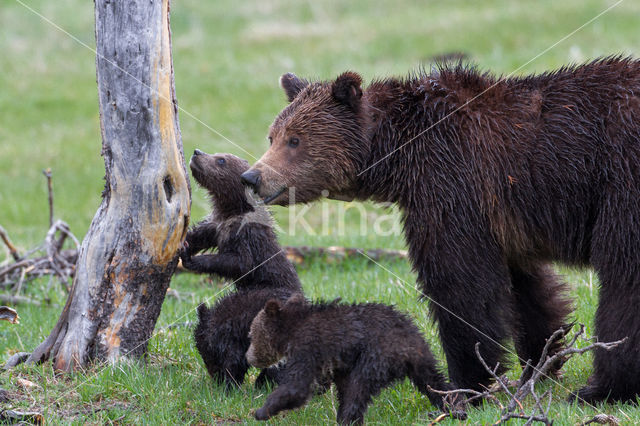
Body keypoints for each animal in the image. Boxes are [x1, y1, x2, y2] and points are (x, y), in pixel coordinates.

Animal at [179, 151, 302, 388]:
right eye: (217, 155)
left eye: (221, 160)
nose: (197, 152)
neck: (231, 211)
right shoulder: (217, 226)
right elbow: (199, 233)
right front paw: (182, 243)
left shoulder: (246, 235)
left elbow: (238, 262)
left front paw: (191, 259)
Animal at [239, 57, 640, 402]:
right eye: (272, 136)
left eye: (295, 139)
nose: (253, 177)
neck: (400, 154)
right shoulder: (505, 220)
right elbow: (529, 288)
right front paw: (540, 363)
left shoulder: (452, 181)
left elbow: (459, 284)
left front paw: (466, 383)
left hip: (621, 179)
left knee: (623, 279)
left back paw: (603, 389)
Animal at [246, 294, 456, 424]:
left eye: (251, 335)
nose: (249, 357)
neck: (291, 332)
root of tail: (405, 350)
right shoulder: (340, 365)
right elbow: (342, 387)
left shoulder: (308, 347)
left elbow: (298, 386)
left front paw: (262, 411)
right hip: (422, 352)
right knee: (435, 381)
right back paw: (454, 407)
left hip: (377, 354)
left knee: (360, 387)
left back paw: (349, 419)